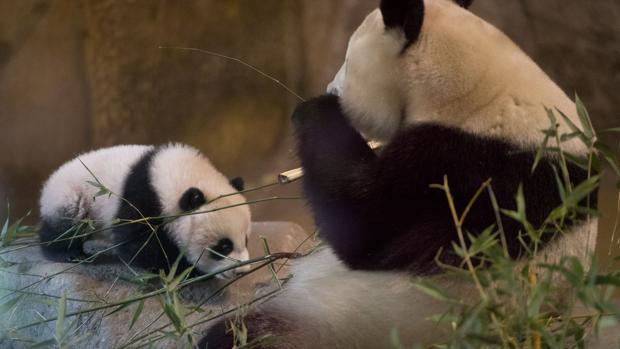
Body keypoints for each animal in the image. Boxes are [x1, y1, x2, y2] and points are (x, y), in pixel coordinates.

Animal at [39, 143, 249, 276]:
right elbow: (138, 244)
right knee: (64, 228)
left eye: (246, 240)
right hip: (72, 197)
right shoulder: (142, 199)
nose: (241, 271)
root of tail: (49, 183)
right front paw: (182, 269)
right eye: (224, 246)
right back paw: (69, 254)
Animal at [201, 0, 600, 346]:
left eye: (347, 61)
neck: (483, 90)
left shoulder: (465, 167)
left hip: (349, 325)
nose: (331, 87)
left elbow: (364, 223)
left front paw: (315, 109)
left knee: (245, 334)